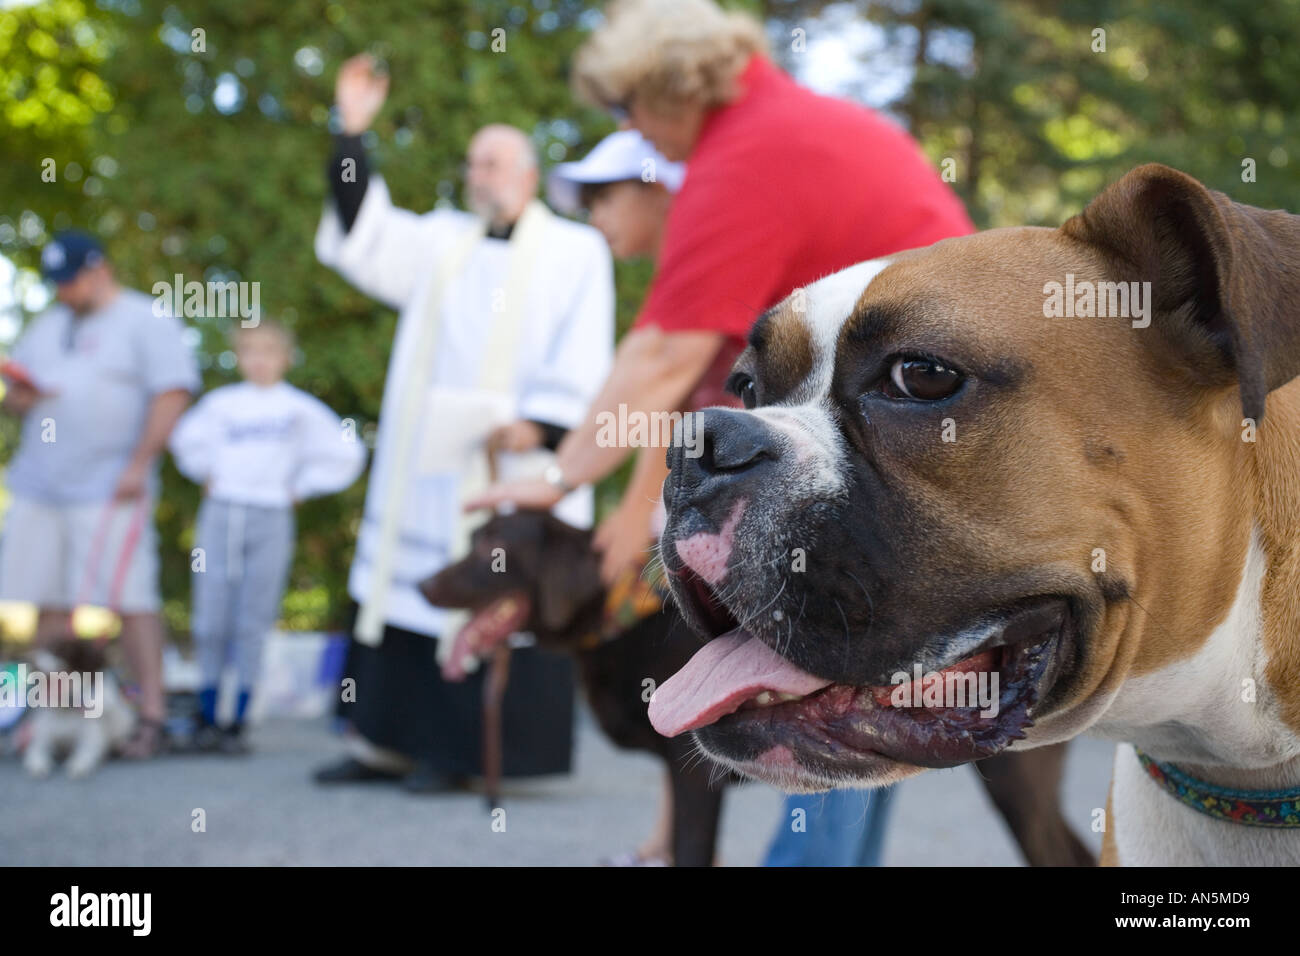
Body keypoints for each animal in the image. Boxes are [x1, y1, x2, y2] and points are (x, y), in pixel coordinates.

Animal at [22, 639, 135, 780]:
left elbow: (84, 754)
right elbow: (36, 752)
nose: (29, 660)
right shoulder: (42, 738)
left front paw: (78, 766)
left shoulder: (90, 739)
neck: (65, 707)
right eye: (45, 647)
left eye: (59, 650)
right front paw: (39, 766)